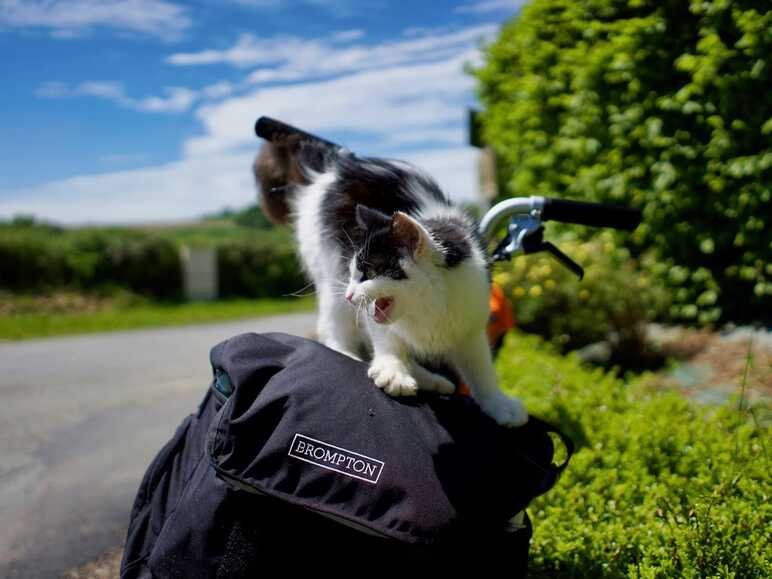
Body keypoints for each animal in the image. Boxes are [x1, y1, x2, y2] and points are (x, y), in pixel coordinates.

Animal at [256, 136, 528, 426]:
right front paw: (392, 370)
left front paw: (498, 403)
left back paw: (431, 380)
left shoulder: (470, 324)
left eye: (370, 273)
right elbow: (385, 338)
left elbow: (481, 368)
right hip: (328, 266)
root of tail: (341, 162)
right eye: (355, 273)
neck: (427, 308)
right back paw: (348, 355)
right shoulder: (370, 310)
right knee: (332, 327)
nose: (350, 295)